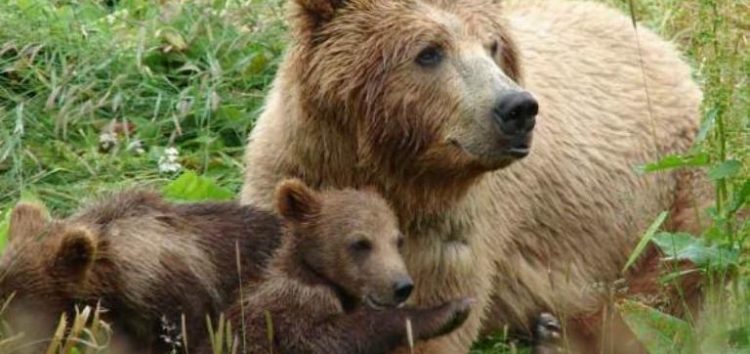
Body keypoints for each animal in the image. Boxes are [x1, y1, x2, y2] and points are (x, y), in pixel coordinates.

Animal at [241, 0, 704, 352]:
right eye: (429, 51)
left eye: (493, 45)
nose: (518, 108)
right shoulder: (294, 173)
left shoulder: (454, 234)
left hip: (670, 197)